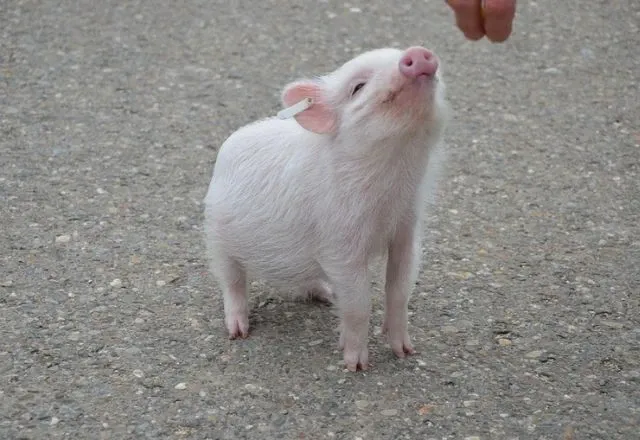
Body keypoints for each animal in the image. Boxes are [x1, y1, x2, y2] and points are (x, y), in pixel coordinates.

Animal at [203, 45, 449, 371]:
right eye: (357, 87)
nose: (418, 53)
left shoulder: (406, 229)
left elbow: (399, 290)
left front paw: (406, 352)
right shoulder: (340, 243)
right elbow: (359, 303)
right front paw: (356, 366)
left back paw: (327, 295)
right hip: (215, 234)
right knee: (231, 281)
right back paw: (238, 331)